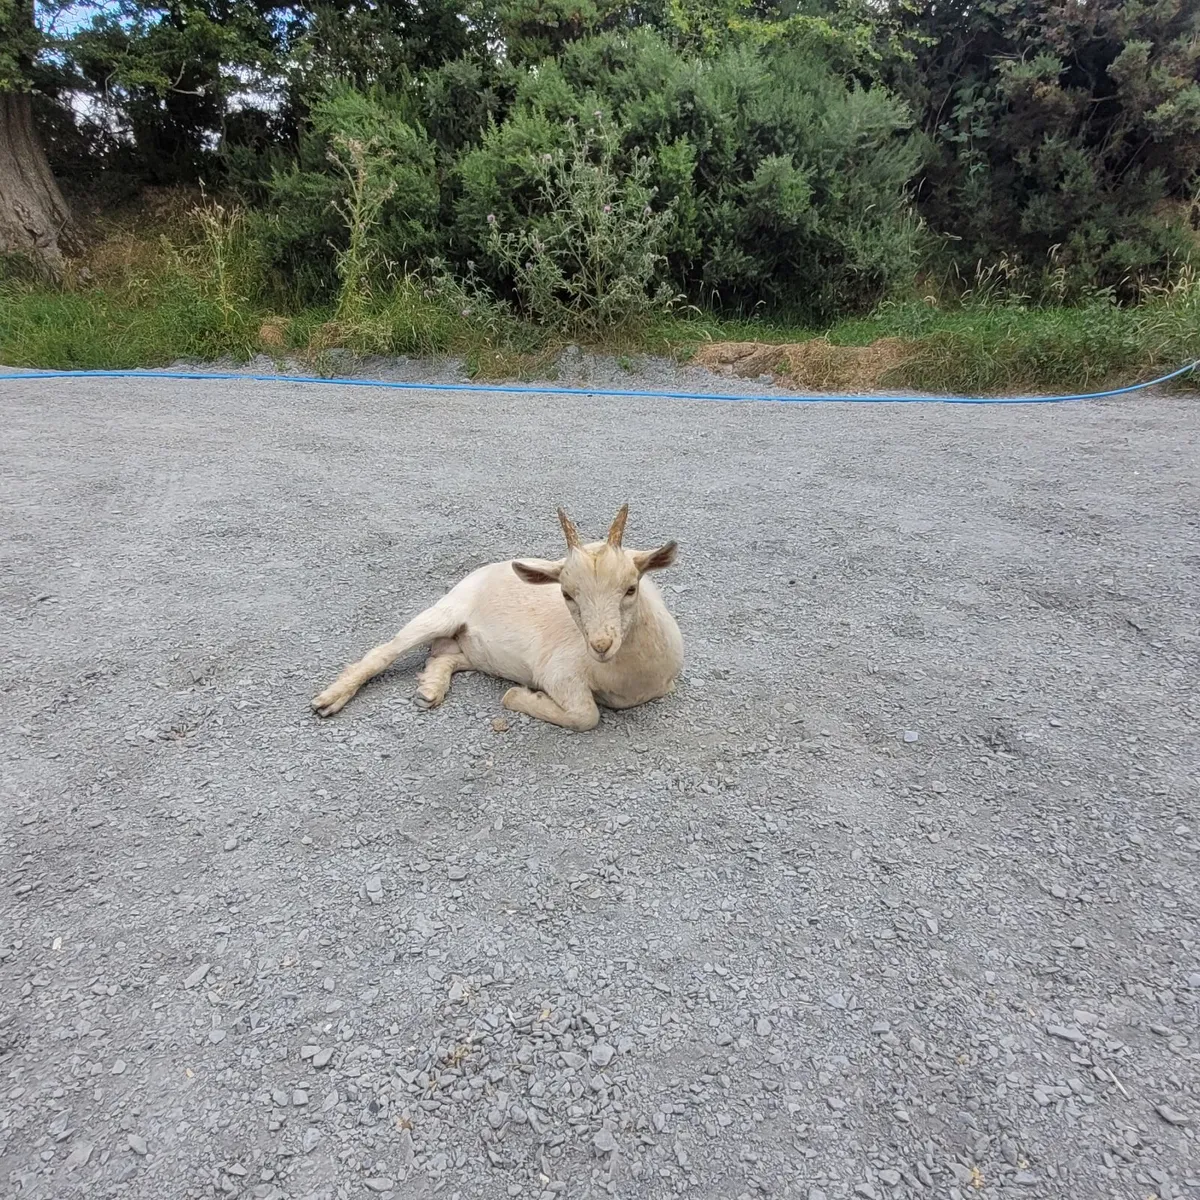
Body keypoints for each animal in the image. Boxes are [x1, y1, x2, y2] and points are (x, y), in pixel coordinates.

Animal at [311, 505, 683, 730]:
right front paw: (518, 697)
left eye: (631, 588)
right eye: (566, 594)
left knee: (444, 654)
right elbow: (585, 715)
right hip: (446, 609)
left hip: (478, 652)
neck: (627, 674)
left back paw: (430, 688)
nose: (601, 645)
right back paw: (329, 699)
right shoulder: (558, 672)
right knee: (386, 651)